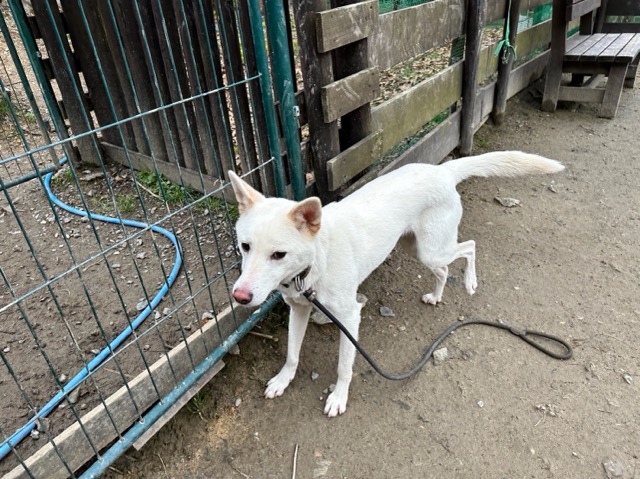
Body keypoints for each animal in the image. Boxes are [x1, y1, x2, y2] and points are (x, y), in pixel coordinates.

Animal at [228, 151, 564, 417]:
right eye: (244, 247)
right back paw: (436, 296)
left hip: (432, 248)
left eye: (278, 254)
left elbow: (344, 366)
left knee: (469, 246)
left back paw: (470, 282)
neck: (315, 261)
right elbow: (292, 354)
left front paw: (338, 397)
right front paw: (283, 380)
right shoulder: (298, 310)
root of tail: (442, 170)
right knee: (443, 270)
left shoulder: (350, 316)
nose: (240, 296)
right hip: (415, 248)